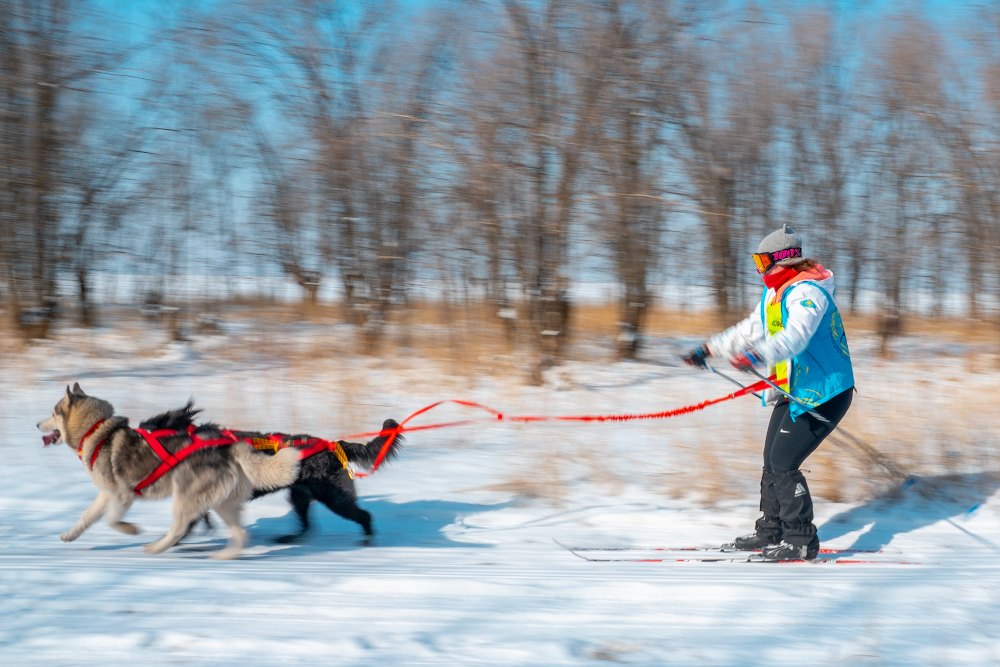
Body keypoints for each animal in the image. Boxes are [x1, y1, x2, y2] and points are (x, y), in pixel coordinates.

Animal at [37, 384, 300, 560]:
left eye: (52, 414)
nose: (37, 424)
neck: (96, 430)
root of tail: (229, 447)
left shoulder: (122, 496)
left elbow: (111, 520)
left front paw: (131, 529)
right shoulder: (106, 495)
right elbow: (87, 517)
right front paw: (70, 534)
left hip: (185, 497)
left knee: (179, 528)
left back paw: (156, 547)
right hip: (222, 504)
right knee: (241, 535)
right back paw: (224, 556)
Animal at [138, 408, 402, 544]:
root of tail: (332, 445)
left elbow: (188, 521)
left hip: (333, 496)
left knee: (364, 515)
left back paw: (367, 539)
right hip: (299, 495)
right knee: (306, 525)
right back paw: (289, 538)